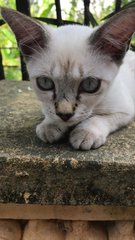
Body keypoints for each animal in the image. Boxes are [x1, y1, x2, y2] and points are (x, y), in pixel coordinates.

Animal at [1, 7, 135, 150]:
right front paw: (50, 125)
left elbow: (100, 118)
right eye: (45, 82)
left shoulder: (126, 110)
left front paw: (85, 132)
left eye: (90, 84)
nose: (64, 114)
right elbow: (49, 111)